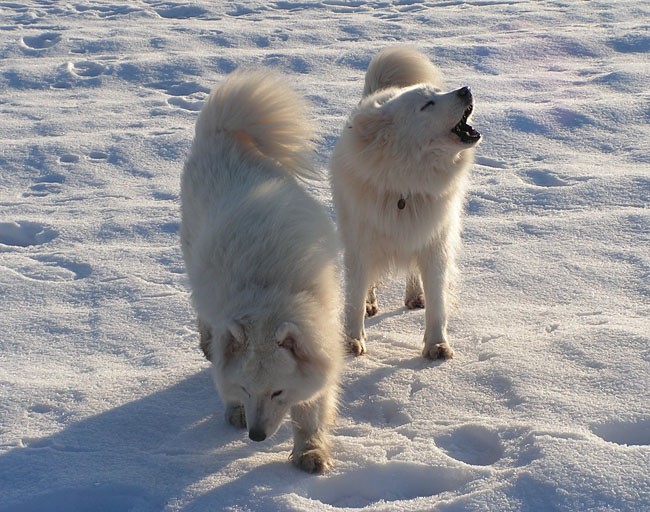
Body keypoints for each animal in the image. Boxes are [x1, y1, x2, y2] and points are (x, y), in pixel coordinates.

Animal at [180, 70, 342, 474]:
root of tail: (223, 131)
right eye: (245, 389)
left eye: (278, 391)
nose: (255, 437)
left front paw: (310, 451)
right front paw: (233, 410)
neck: (269, 289)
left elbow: (312, 409)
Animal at [332, 47, 478, 360]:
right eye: (427, 104)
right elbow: (354, 297)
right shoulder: (360, 244)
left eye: (439, 92)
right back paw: (371, 304)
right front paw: (352, 341)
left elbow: (438, 302)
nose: (465, 89)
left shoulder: (435, 242)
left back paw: (414, 296)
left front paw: (437, 345)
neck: (408, 183)